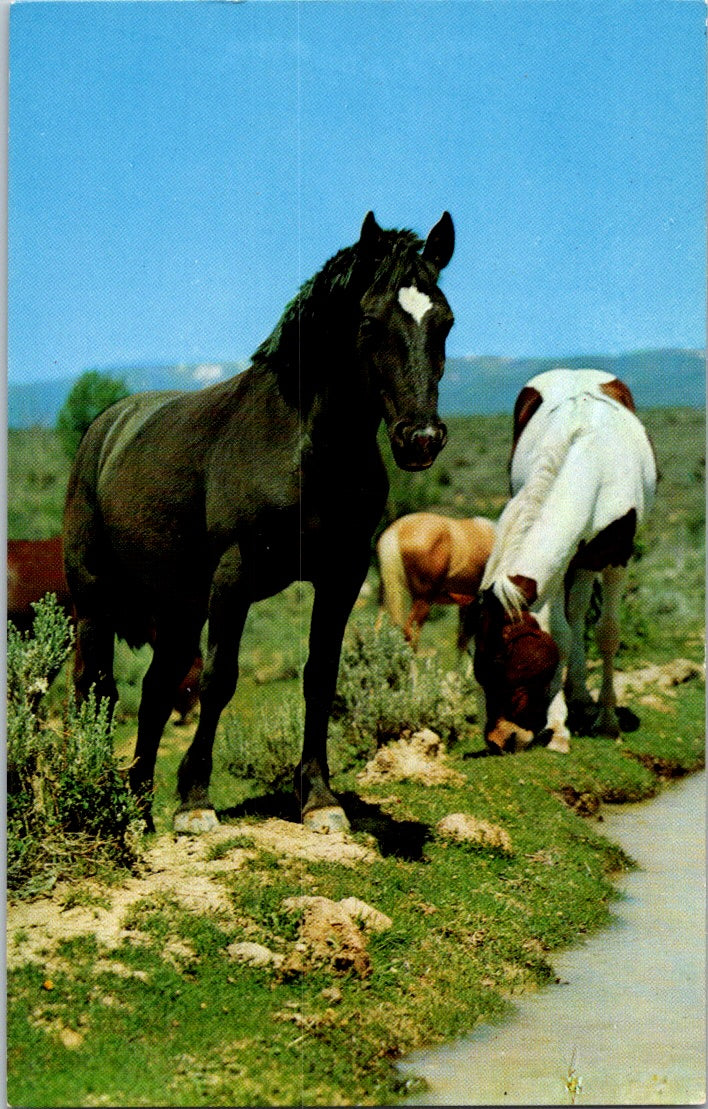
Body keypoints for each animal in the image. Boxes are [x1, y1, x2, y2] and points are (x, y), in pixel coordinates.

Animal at [63, 211, 457, 829]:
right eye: (370, 322)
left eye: (444, 321)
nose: (420, 439)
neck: (305, 449)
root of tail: (106, 427)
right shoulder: (234, 577)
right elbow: (220, 679)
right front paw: (195, 801)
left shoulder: (341, 576)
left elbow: (320, 676)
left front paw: (318, 797)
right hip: (93, 597)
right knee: (97, 685)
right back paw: (98, 792)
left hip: (179, 606)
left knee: (155, 689)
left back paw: (138, 803)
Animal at [477, 370, 661, 754]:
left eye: (501, 659)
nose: (499, 740)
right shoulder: (558, 566)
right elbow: (559, 635)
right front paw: (559, 727)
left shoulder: (617, 558)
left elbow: (607, 632)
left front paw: (607, 723)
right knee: (574, 617)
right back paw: (574, 696)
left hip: (590, 559)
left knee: (580, 613)